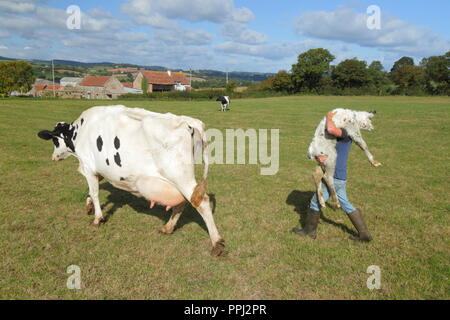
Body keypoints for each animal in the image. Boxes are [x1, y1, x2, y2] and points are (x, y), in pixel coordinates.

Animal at [37, 104, 224, 255]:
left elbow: (95, 192)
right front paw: (89, 206)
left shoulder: (88, 167)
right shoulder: (96, 170)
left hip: (180, 175)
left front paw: (98, 218)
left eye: (54, 140)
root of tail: (187, 121)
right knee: (183, 201)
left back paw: (216, 243)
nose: (54, 157)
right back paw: (168, 228)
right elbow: (91, 191)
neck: (79, 131)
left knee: (201, 202)